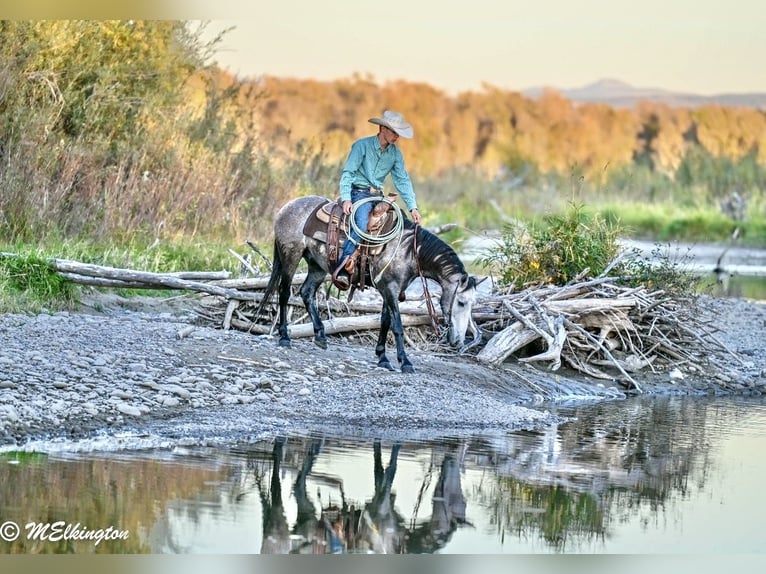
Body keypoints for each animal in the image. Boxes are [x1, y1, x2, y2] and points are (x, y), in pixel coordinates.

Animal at [254, 194, 484, 373]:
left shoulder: (389, 289)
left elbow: (385, 321)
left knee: (306, 292)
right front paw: (405, 362)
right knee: (284, 292)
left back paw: (320, 336)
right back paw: (285, 337)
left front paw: (383, 358)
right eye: (461, 302)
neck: (408, 251)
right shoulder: (390, 289)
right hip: (290, 257)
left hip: (318, 266)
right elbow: (397, 325)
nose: (458, 341)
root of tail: (286, 207)